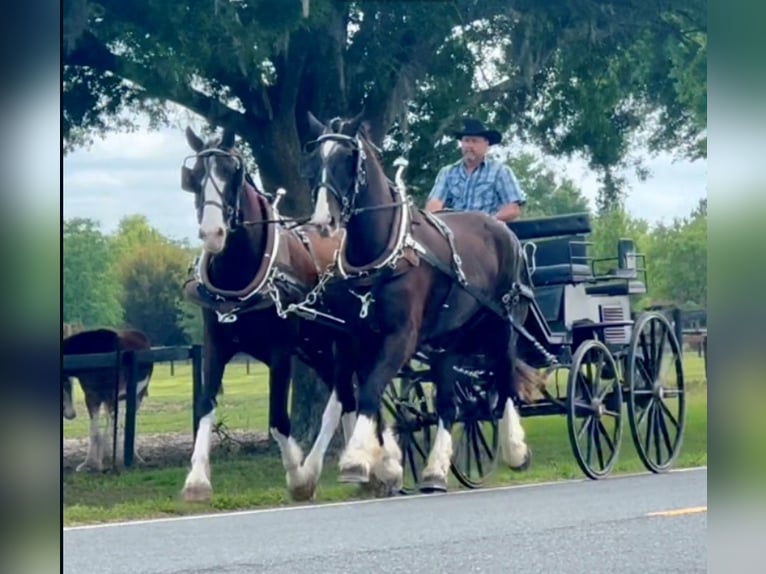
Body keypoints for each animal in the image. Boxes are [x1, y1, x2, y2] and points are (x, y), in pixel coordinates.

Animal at [63, 328, 154, 472]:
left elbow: (110, 430)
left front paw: (107, 462)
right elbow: (95, 431)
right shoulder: (92, 397)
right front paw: (90, 463)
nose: (71, 414)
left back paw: (134, 457)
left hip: (136, 396)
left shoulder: (112, 397)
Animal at [181, 127, 378, 504]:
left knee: (342, 398)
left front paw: (298, 477)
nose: (212, 234)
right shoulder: (215, 345)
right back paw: (356, 465)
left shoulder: (281, 350)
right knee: (346, 396)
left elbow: (277, 418)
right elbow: (205, 405)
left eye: (232, 174)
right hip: (317, 349)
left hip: (345, 342)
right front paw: (196, 480)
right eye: (195, 176)